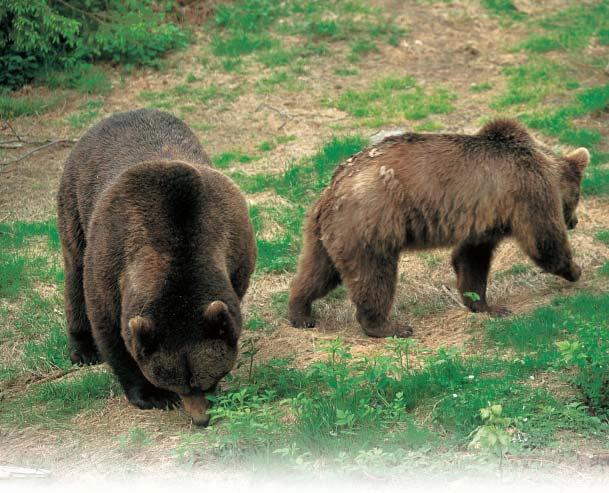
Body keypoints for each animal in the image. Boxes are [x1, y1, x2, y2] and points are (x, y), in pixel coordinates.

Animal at [55, 109, 255, 424]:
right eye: (176, 384)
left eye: (206, 380)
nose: (201, 419)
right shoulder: (111, 258)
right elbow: (112, 331)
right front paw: (151, 395)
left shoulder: (234, 246)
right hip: (75, 197)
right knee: (74, 269)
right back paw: (83, 351)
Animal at [290, 118, 588, 338]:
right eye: (578, 197)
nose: (574, 222)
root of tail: (333, 187)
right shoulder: (527, 190)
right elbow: (543, 240)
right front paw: (575, 269)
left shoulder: (482, 221)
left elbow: (471, 259)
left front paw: (485, 304)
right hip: (370, 224)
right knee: (373, 275)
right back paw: (389, 326)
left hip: (328, 233)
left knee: (318, 272)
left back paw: (300, 312)